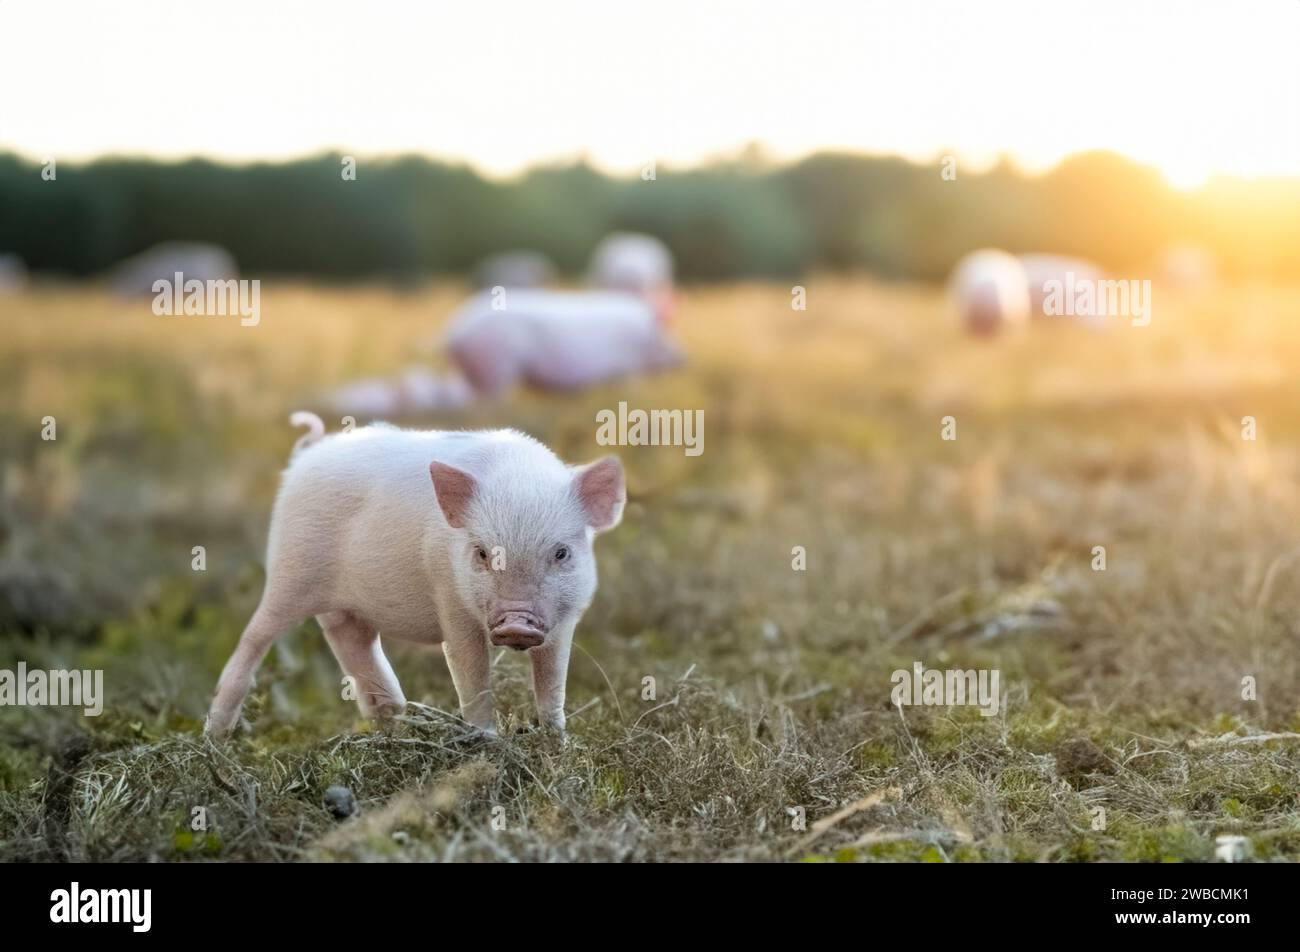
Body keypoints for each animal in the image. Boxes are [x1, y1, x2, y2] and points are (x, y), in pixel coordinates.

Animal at [206, 410, 624, 738]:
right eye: (482, 553)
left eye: (561, 553)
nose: (516, 622)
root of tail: (308, 454)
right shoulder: (450, 600)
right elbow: (471, 674)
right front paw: (487, 741)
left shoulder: (564, 619)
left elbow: (553, 682)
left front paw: (557, 742)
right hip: (289, 574)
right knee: (254, 637)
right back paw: (217, 735)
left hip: (345, 608)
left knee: (352, 642)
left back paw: (394, 720)